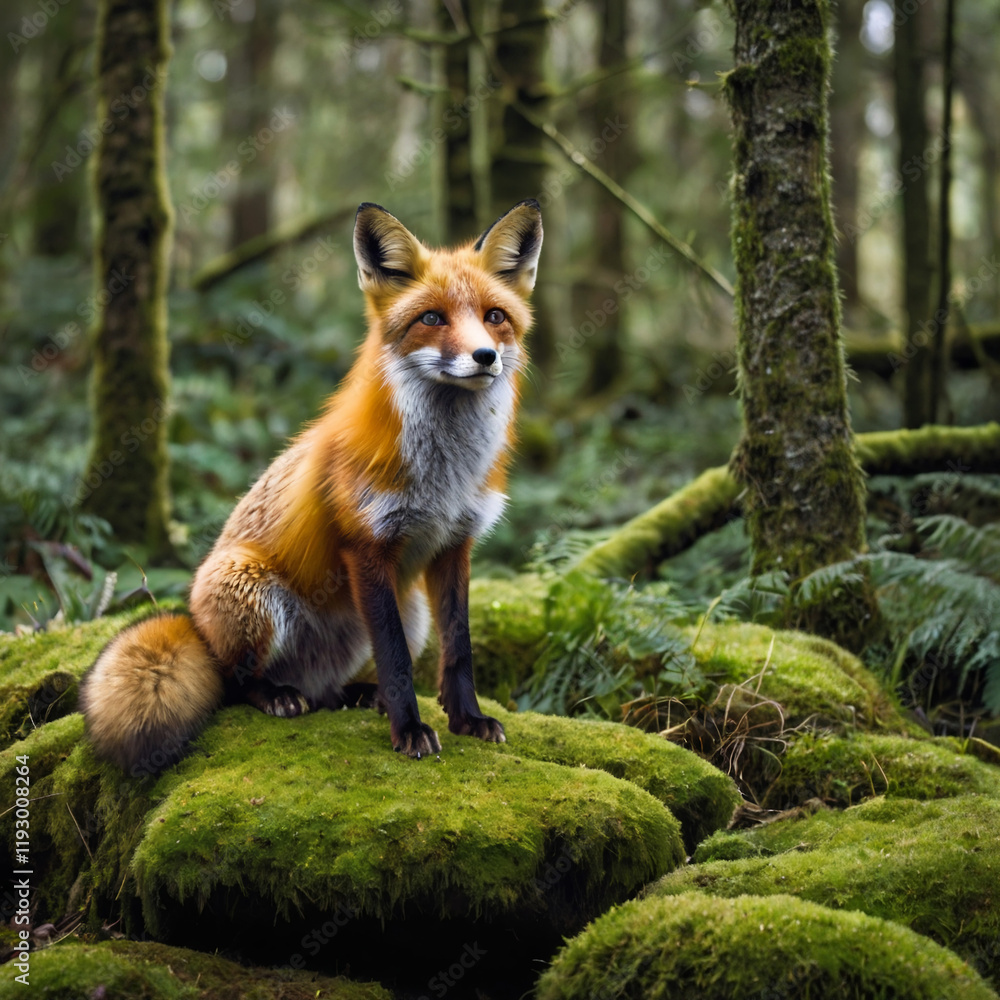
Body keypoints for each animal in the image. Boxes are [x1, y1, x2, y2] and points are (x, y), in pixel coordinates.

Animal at [79, 199, 543, 773]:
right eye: (432, 318)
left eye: (494, 317)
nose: (485, 357)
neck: (446, 477)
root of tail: (195, 626)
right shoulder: (367, 545)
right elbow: (395, 660)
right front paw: (409, 731)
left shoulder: (455, 543)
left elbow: (459, 649)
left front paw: (468, 720)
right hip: (248, 590)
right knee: (232, 684)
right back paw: (277, 695)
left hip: (409, 610)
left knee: (327, 690)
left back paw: (354, 695)